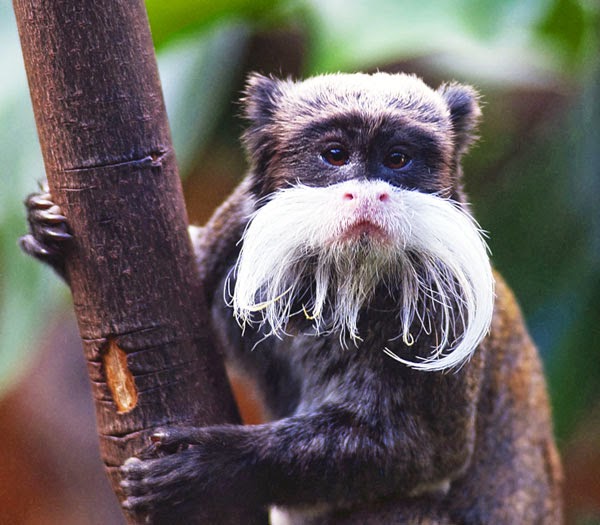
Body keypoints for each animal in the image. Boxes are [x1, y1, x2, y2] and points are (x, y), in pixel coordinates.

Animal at [19, 71, 564, 520]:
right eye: (336, 155)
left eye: (397, 159)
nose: (369, 192)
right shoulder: (234, 233)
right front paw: (49, 235)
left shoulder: (448, 301)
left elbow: (425, 451)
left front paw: (212, 466)